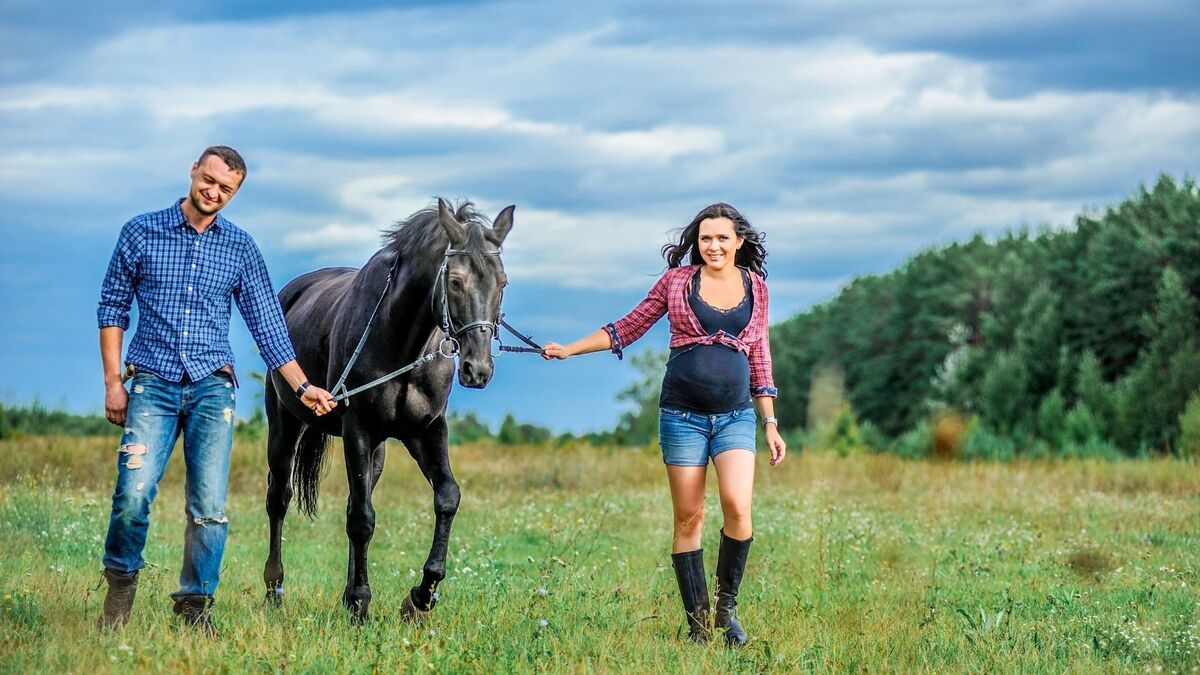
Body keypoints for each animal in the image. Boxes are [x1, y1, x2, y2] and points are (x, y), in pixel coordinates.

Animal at [262, 198, 511, 619]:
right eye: (455, 281)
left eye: (502, 283)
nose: (478, 370)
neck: (402, 343)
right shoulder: (357, 430)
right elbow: (362, 520)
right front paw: (362, 603)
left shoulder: (426, 431)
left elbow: (447, 497)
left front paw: (420, 596)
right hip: (284, 425)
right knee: (279, 498)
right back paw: (274, 591)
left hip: (376, 449)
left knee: (352, 500)